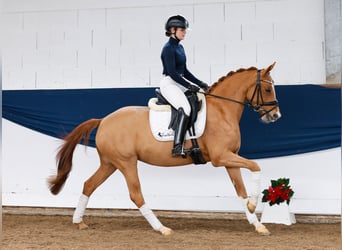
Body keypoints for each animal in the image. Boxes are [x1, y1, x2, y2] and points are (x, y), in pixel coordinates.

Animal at [49, 62, 282, 236]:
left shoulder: (230, 158)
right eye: (268, 88)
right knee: (136, 194)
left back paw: (79, 222)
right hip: (126, 163)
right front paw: (253, 206)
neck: (222, 110)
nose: (275, 116)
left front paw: (257, 223)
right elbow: (256, 166)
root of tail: (104, 120)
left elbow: (240, 191)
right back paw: (162, 228)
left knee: (89, 185)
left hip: (110, 163)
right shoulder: (221, 157)